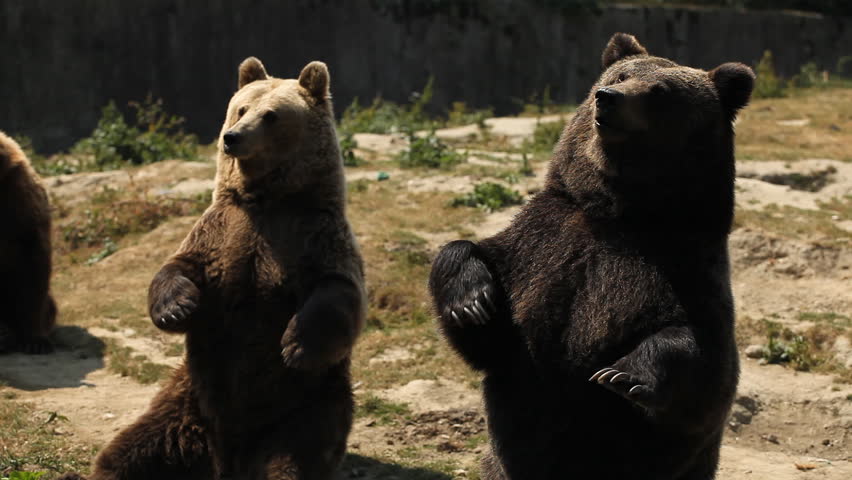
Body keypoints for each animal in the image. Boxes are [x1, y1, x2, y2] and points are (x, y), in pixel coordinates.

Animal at [58, 58, 366, 480]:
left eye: (271, 115)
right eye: (241, 108)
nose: (231, 137)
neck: (266, 200)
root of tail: (227, 458)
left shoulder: (312, 234)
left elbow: (337, 289)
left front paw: (296, 344)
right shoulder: (222, 232)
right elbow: (180, 267)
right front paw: (176, 308)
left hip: (306, 404)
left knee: (294, 458)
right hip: (187, 398)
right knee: (131, 452)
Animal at [429, 33, 754, 479]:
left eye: (660, 91)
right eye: (621, 75)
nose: (609, 98)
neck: (620, 211)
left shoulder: (684, 266)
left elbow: (703, 366)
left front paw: (620, 374)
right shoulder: (542, 245)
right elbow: (488, 326)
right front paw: (470, 301)